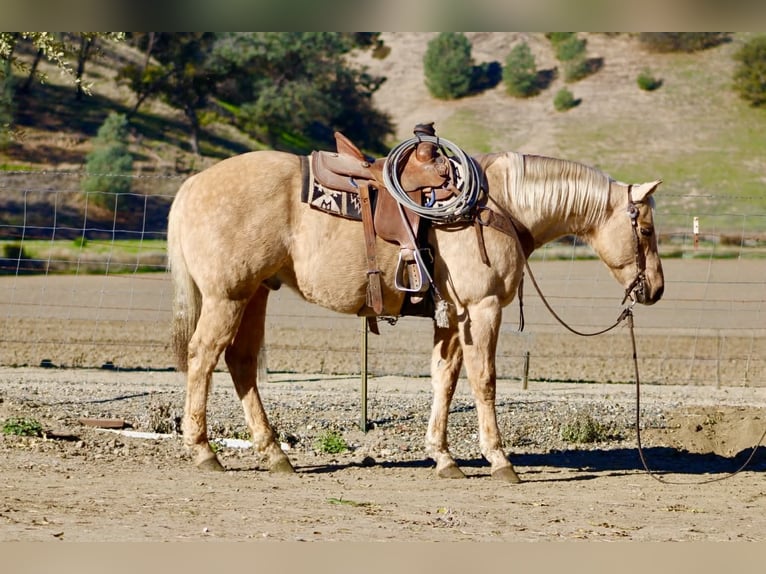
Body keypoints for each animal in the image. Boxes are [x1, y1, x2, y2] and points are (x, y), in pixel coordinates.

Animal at [167, 144, 664, 483]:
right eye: (645, 228)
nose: (656, 289)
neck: (501, 207)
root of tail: (193, 184)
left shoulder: (455, 318)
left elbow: (444, 380)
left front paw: (443, 457)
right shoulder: (482, 310)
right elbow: (484, 381)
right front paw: (499, 460)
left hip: (254, 295)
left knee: (241, 363)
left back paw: (274, 454)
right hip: (227, 297)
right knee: (203, 357)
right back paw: (204, 450)